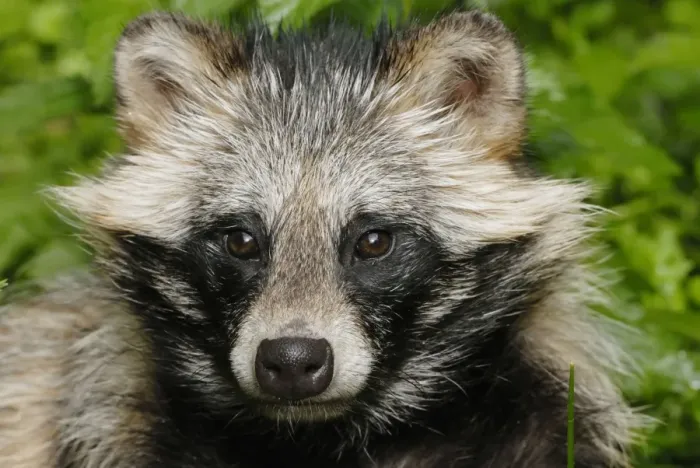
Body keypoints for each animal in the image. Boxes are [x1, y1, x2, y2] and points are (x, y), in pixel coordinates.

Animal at [0, 9, 645, 468]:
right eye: (240, 240)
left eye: (374, 241)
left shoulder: (541, 426)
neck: (318, 439)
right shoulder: (115, 424)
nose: (291, 362)